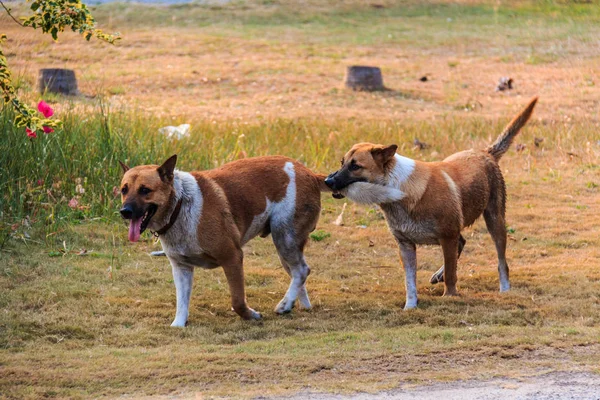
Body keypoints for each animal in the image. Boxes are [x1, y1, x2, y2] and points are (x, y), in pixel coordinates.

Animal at [119, 155, 330, 326]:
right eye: (124, 190)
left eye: (145, 190)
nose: (124, 211)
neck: (179, 206)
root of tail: (310, 173)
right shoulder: (181, 268)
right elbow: (182, 303)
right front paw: (178, 324)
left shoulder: (233, 258)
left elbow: (237, 302)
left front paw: (251, 315)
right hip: (285, 247)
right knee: (299, 272)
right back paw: (296, 304)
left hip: (285, 237)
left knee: (301, 270)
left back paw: (285, 305)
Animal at [324, 97, 540, 310]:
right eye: (342, 162)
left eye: (355, 166)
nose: (327, 181)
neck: (399, 189)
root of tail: (485, 153)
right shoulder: (406, 246)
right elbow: (410, 283)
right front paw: (410, 307)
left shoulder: (447, 236)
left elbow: (452, 275)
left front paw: (450, 297)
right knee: (462, 243)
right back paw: (439, 274)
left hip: (495, 221)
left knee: (501, 262)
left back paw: (504, 288)